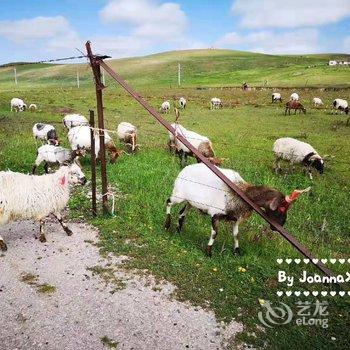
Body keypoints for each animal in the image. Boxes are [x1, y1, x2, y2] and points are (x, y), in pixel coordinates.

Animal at [165, 163, 308, 256]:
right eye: (282, 207)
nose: (280, 225)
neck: (242, 192)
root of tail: (185, 169)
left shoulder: (235, 219)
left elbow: (236, 235)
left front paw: (236, 251)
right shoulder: (215, 215)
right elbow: (215, 233)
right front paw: (209, 251)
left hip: (191, 202)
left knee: (182, 213)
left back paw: (178, 229)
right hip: (178, 195)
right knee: (168, 203)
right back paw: (167, 225)